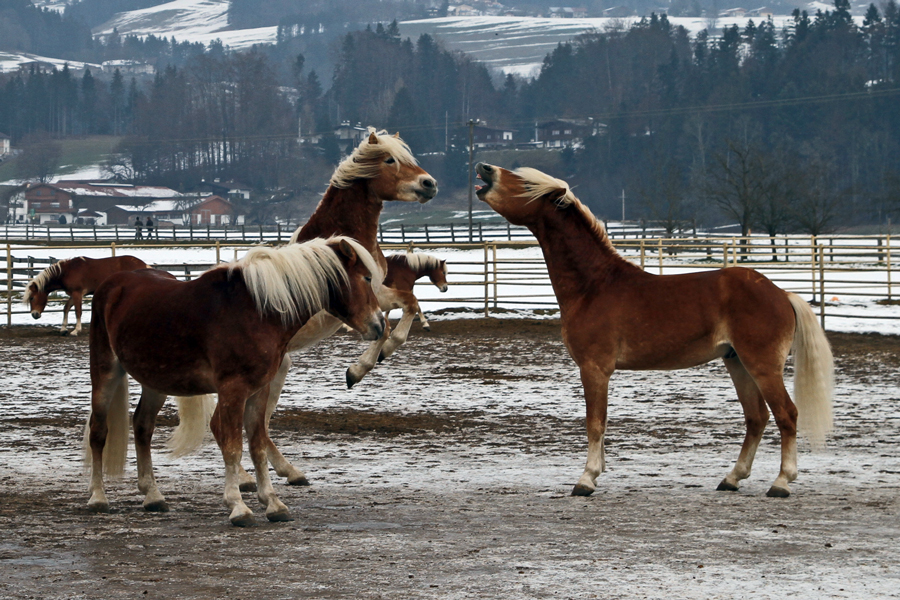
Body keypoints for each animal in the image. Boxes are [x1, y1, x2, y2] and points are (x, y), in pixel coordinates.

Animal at [88, 237, 386, 528]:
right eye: (367, 277)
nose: (380, 325)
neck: (256, 311)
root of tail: (112, 284)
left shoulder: (259, 390)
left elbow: (257, 444)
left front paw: (273, 503)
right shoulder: (233, 390)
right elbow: (232, 446)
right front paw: (238, 506)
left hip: (155, 380)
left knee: (143, 426)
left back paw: (152, 495)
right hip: (105, 372)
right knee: (98, 431)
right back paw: (98, 497)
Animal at [474, 162, 832, 500]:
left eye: (525, 183)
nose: (484, 169)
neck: (594, 285)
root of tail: (781, 293)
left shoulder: (594, 369)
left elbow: (594, 423)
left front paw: (586, 479)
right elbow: (602, 424)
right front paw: (598, 471)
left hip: (762, 366)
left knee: (787, 414)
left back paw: (781, 482)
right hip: (737, 363)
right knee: (756, 418)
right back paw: (732, 479)